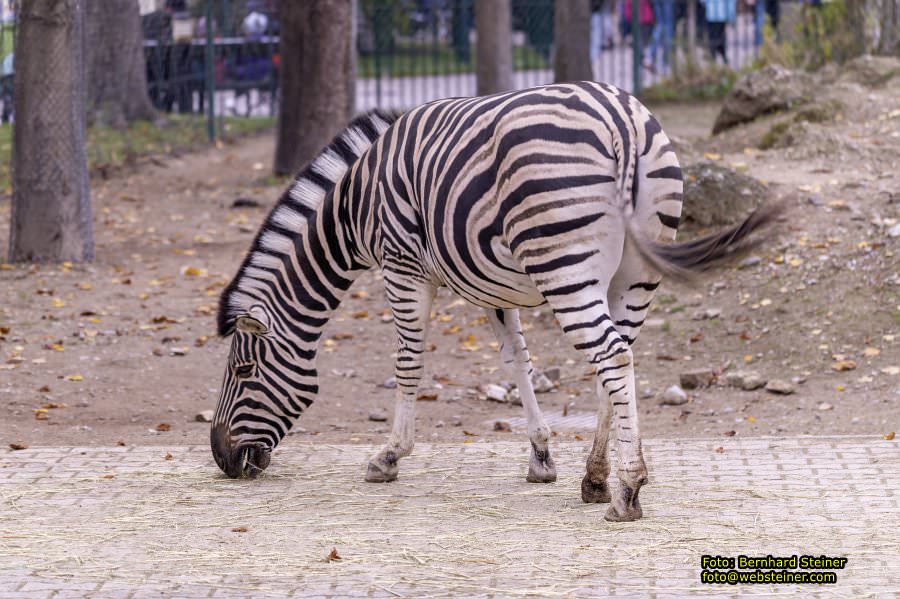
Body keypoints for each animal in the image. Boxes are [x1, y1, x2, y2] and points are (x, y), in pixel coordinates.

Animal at [213, 82, 780, 524]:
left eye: (243, 371)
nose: (221, 460)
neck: (355, 208)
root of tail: (622, 121)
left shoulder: (402, 267)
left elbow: (407, 364)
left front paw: (390, 457)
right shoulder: (490, 287)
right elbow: (518, 364)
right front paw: (542, 457)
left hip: (565, 264)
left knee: (613, 356)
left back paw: (628, 491)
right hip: (633, 277)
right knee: (616, 359)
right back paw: (598, 479)